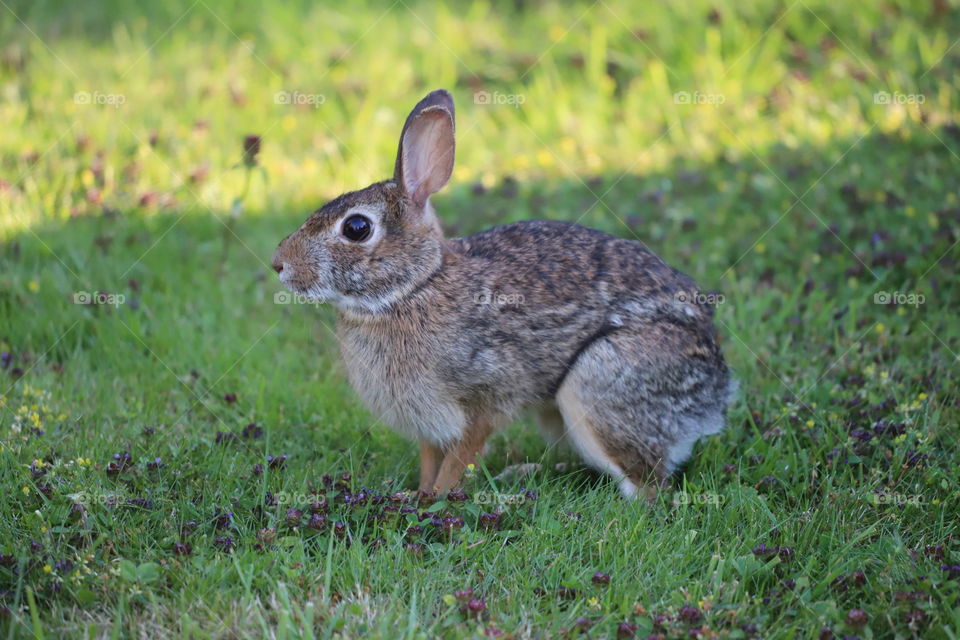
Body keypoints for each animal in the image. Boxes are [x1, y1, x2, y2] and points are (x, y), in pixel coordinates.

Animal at [271, 89, 734, 499]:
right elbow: (430, 458)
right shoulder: (428, 422)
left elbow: (461, 456)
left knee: (649, 486)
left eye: (356, 228)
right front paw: (417, 494)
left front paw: (436, 500)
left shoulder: (487, 397)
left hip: (597, 381)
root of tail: (716, 394)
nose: (279, 263)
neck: (413, 289)